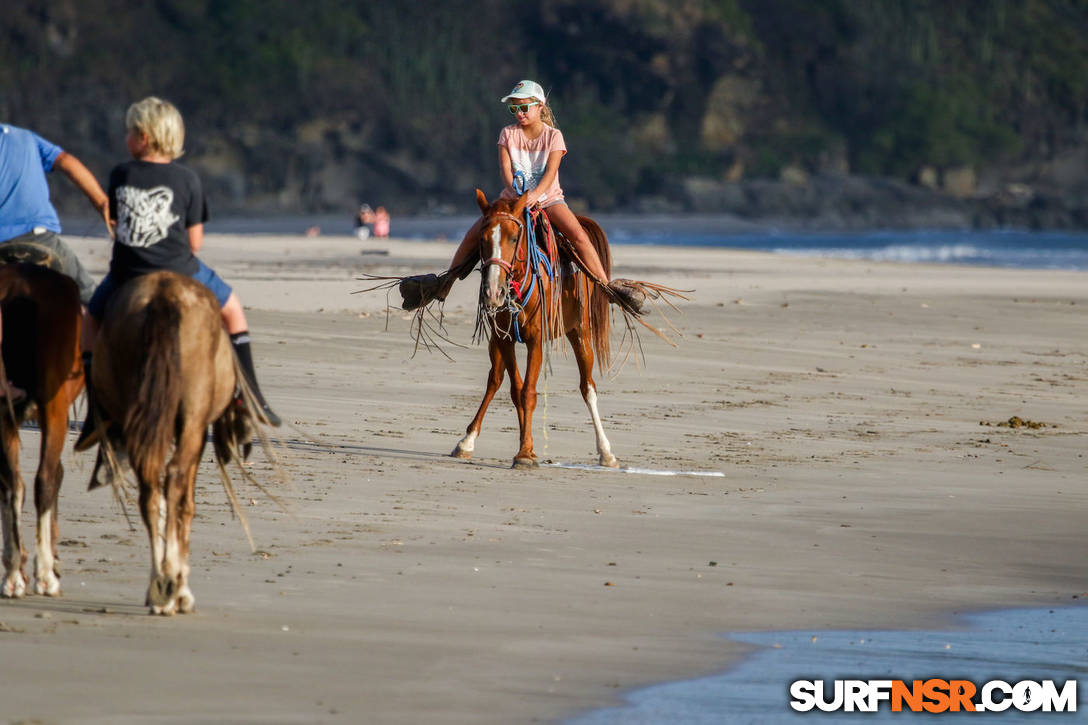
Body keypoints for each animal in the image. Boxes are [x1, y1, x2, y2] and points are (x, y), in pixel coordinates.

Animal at [90, 269, 253, 609]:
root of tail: (163, 295)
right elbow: (185, 503)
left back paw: (159, 586)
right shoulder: (197, 431)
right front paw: (180, 583)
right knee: (175, 481)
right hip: (192, 418)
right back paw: (172, 586)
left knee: (150, 488)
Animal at [450, 189, 622, 465]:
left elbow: (528, 393)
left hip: (580, 332)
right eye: (481, 239)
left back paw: (605, 451)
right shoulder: (504, 339)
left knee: (588, 387)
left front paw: (524, 452)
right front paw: (526, 448)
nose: (493, 292)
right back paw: (467, 441)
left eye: (513, 238)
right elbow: (516, 389)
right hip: (496, 341)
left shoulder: (536, 341)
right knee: (494, 379)